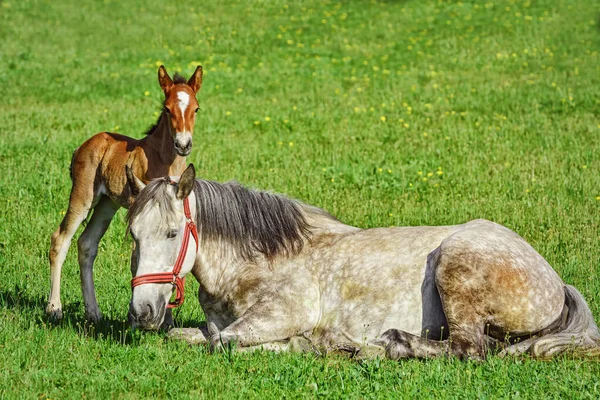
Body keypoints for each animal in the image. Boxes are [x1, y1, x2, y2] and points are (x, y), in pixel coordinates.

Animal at [46, 65, 204, 322]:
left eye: (196, 108)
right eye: (167, 109)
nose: (183, 144)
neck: (164, 160)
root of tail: (82, 146)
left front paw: (166, 320)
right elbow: (138, 261)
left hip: (106, 204)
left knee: (86, 244)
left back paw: (93, 312)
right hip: (83, 197)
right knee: (60, 239)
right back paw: (54, 308)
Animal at [124, 163, 596, 360]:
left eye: (172, 233)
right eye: (132, 235)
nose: (143, 312)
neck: (258, 260)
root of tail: (554, 281)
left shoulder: (281, 314)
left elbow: (225, 342)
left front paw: (311, 343)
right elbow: (192, 336)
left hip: (455, 267)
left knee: (469, 349)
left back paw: (388, 345)